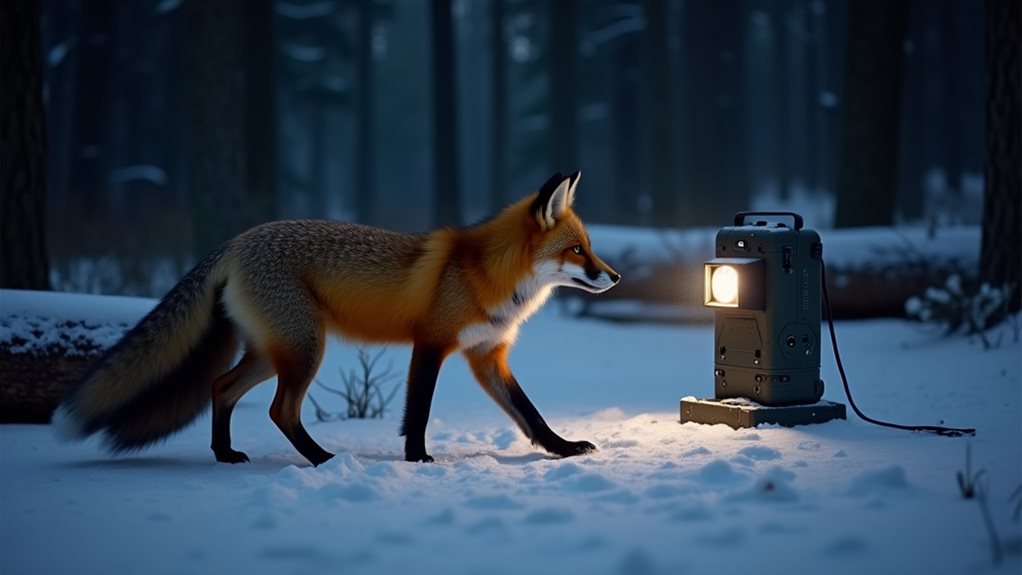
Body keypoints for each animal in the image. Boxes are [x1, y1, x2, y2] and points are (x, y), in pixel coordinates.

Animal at [53, 171, 620, 466]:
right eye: (576, 250)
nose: (614, 276)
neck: (486, 275)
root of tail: (235, 241)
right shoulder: (431, 343)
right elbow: (418, 411)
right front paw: (417, 458)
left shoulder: (487, 355)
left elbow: (530, 414)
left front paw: (564, 449)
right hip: (306, 350)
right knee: (279, 410)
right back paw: (322, 458)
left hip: (275, 353)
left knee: (220, 387)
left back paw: (225, 454)